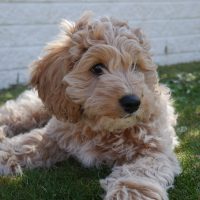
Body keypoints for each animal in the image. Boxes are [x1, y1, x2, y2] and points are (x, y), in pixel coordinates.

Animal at [0, 12, 181, 200]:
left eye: (135, 66)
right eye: (97, 68)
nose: (133, 102)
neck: (103, 128)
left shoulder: (154, 150)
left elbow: (139, 173)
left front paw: (130, 194)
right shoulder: (55, 133)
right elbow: (28, 142)